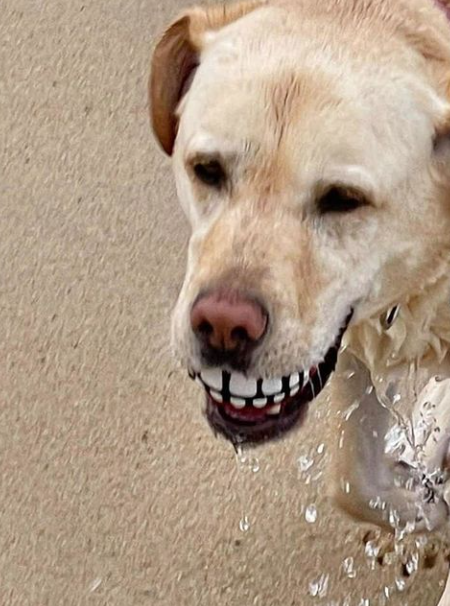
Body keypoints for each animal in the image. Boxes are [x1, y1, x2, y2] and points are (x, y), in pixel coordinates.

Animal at [149, 1, 450, 604]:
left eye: (343, 199)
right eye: (207, 169)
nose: (222, 326)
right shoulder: (356, 338)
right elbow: (352, 479)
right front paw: (421, 508)